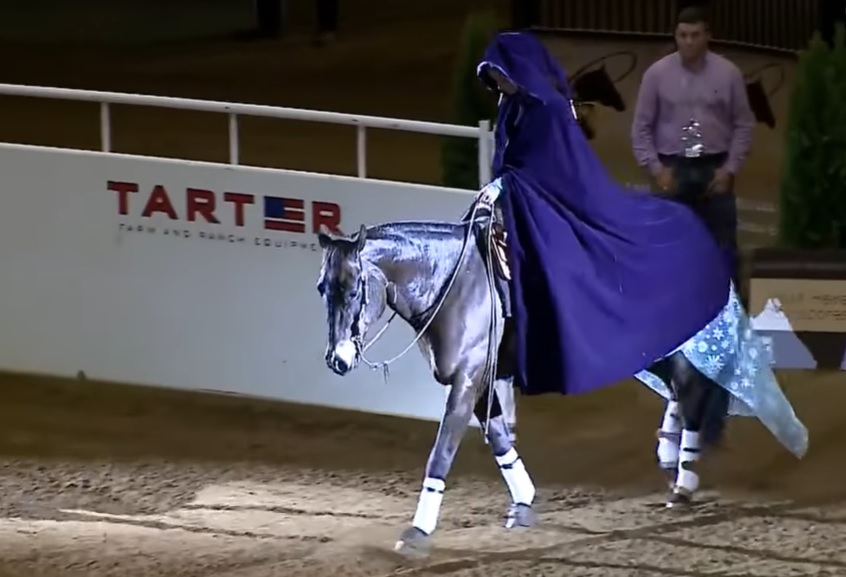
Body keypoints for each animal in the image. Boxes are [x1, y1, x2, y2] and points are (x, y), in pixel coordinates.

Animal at [316, 218, 808, 556]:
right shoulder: (482, 382)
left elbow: (442, 453)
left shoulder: (466, 381)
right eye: (323, 287)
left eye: (355, 288)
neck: (459, 284)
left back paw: (682, 481)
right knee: (682, 389)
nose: (337, 360)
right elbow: (499, 439)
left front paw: (418, 533)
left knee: (692, 390)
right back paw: (672, 457)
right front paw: (524, 504)